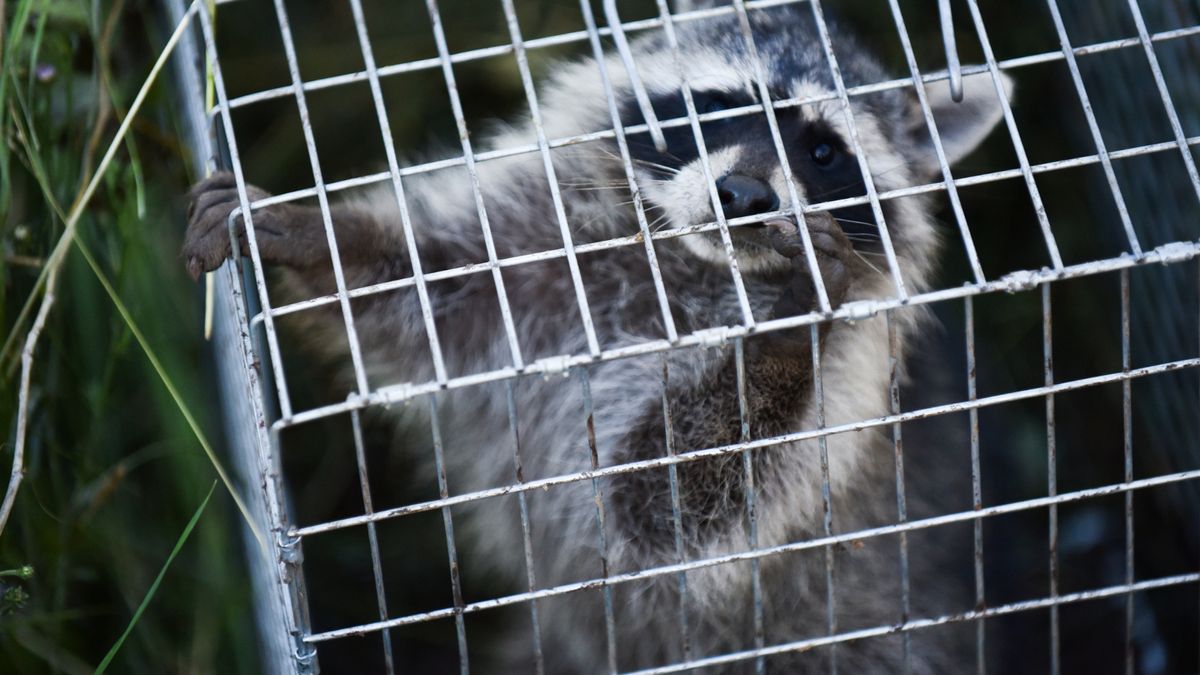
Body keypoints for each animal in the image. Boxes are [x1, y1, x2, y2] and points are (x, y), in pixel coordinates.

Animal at [184, 2, 1011, 672]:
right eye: (720, 105)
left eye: (824, 151)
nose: (744, 195)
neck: (687, 259)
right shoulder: (529, 250)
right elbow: (420, 284)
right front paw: (315, 234)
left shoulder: (847, 380)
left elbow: (670, 508)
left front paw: (783, 337)